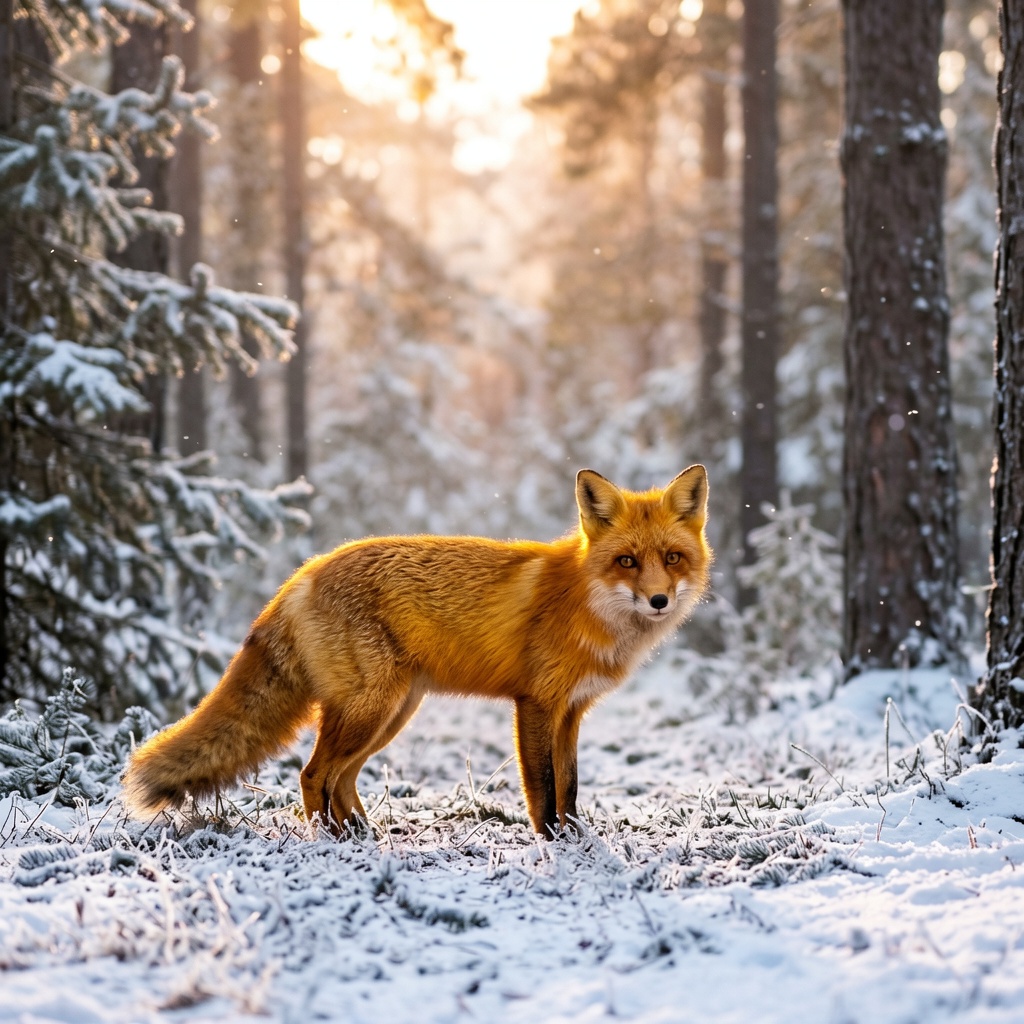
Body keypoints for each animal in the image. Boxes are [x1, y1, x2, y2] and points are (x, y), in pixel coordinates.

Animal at [122, 466, 711, 838]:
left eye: (672, 558)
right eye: (627, 561)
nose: (659, 600)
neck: (587, 603)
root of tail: (302, 574)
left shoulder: (572, 711)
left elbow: (568, 785)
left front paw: (577, 840)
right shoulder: (537, 704)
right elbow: (542, 787)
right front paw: (553, 845)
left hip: (392, 712)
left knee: (341, 778)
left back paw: (359, 833)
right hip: (370, 708)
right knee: (313, 775)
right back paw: (330, 841)